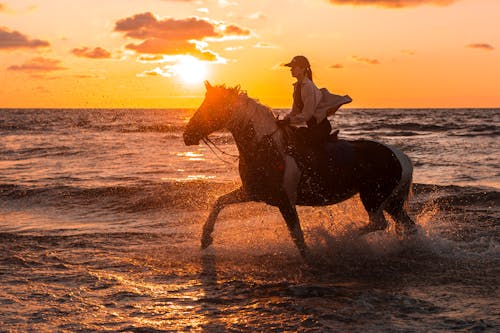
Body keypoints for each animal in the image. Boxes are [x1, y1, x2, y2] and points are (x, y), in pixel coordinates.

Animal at [185, 81, 418, 258]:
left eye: (210, 108)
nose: (187, 135)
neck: (265, 146)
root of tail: (400, 156)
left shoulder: (285, 202)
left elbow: (298, 237)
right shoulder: (253, 192)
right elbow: (219, 202)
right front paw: (205, 239)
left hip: (373, 198)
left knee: (378, 223)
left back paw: (343, 237)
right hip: (391, 202)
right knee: (407, 225)